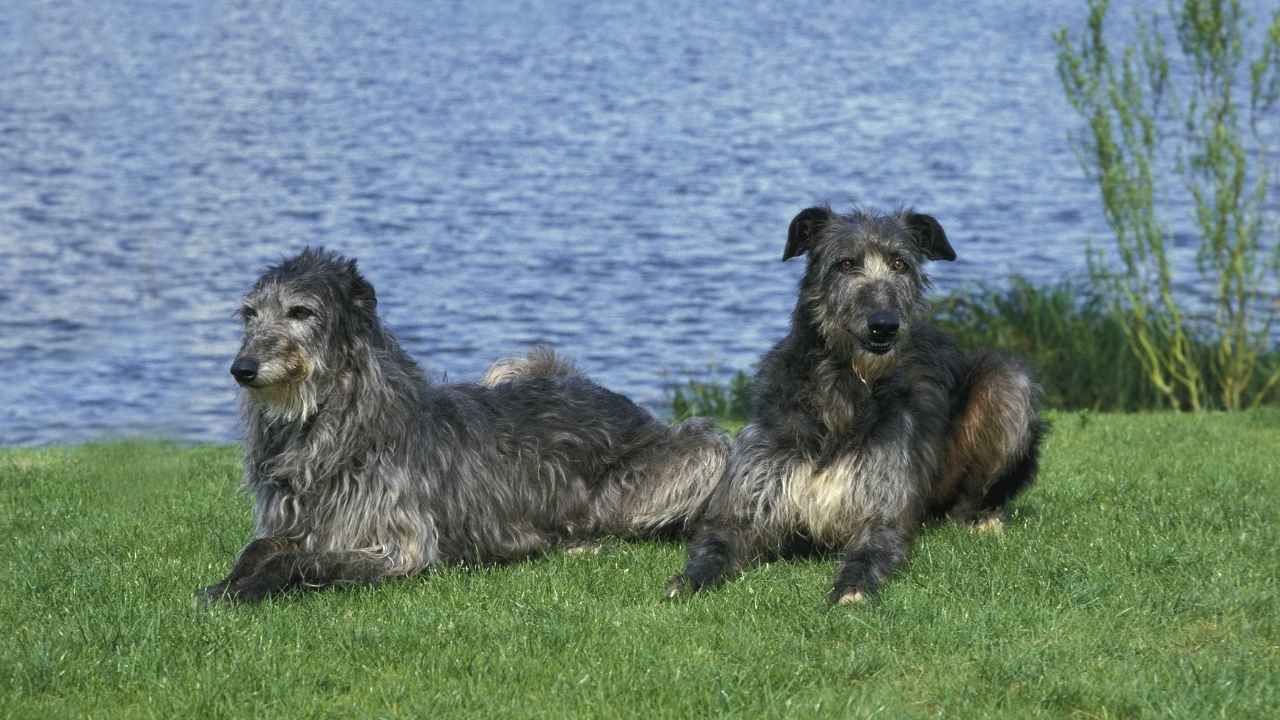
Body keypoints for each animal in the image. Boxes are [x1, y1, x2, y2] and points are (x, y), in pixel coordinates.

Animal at [194, 245, 727, 599]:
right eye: (250, 314)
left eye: (300, 311)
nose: (242, 369)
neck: (333, 427)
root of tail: (630, 407)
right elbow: (259, 548)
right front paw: (228, 580)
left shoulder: (398, 545)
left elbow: (306, 561)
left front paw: (247, 589)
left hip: (703, 450)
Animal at [665, 204, 1044, 602]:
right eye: (845, 264)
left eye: (899, 263)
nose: (884, 326)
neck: (841, 390)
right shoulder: (750, 495)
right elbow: (716, 542)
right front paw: (690, 579)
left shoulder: (882, 506)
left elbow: (872, 549)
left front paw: (853, 587)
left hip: (1007, 381)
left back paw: (982, 520)